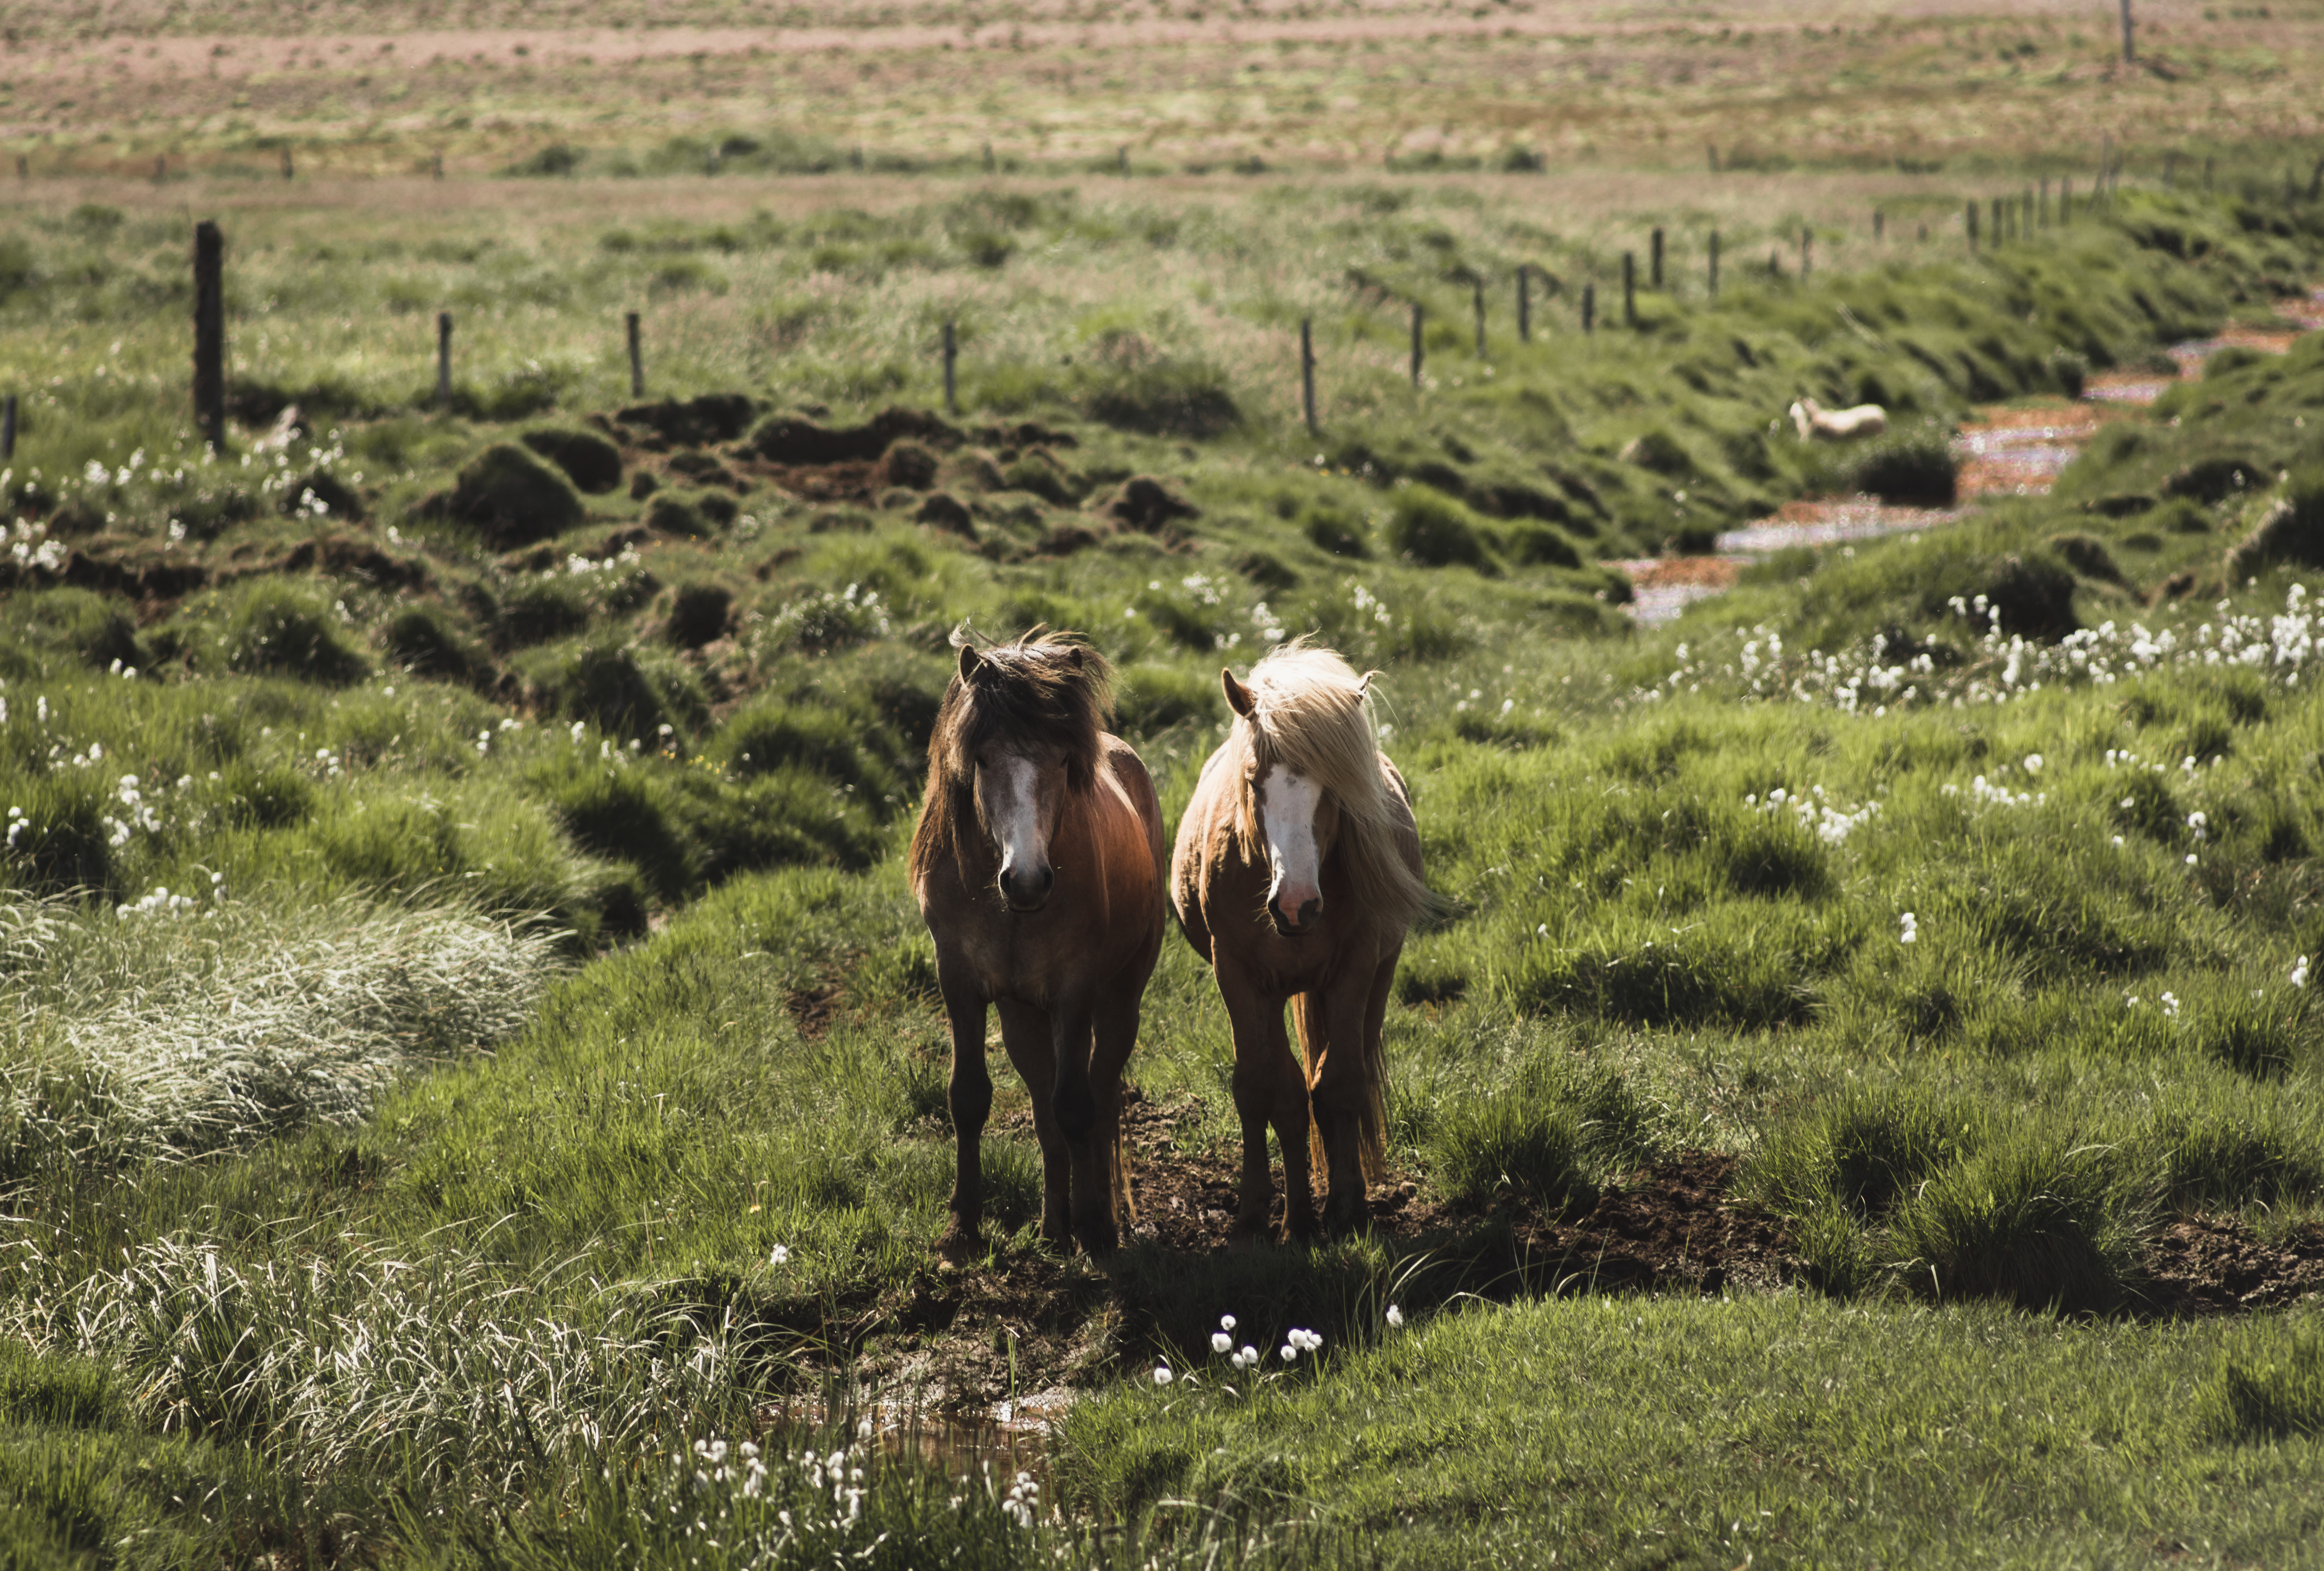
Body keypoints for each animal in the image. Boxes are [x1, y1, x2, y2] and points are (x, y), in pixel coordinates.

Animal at [906, 632, 1162, 1255]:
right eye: (980, 758)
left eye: (1064, 759)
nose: (1025, 881)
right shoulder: (959, 983)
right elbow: (969, 1097)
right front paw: (963, 1227)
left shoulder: (1074, 992)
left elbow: (1076, 1106)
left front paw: (1093, 1227)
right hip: (1021, 1012)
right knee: (1045, 1103)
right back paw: (1051, 1226)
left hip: (1120, 997)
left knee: (1099, 1092)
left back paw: (1096, 1219)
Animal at [1171, 641, 1422, 1236]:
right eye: (1252, 780)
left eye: (1332, 788)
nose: (1295, 905)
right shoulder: (1239, 977)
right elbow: (1260, 1089)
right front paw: (1261, 1214)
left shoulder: (1354, 970)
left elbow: (1340, 1084)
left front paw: (1346, 1208)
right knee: (1286, 1090)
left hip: (1377, 976)